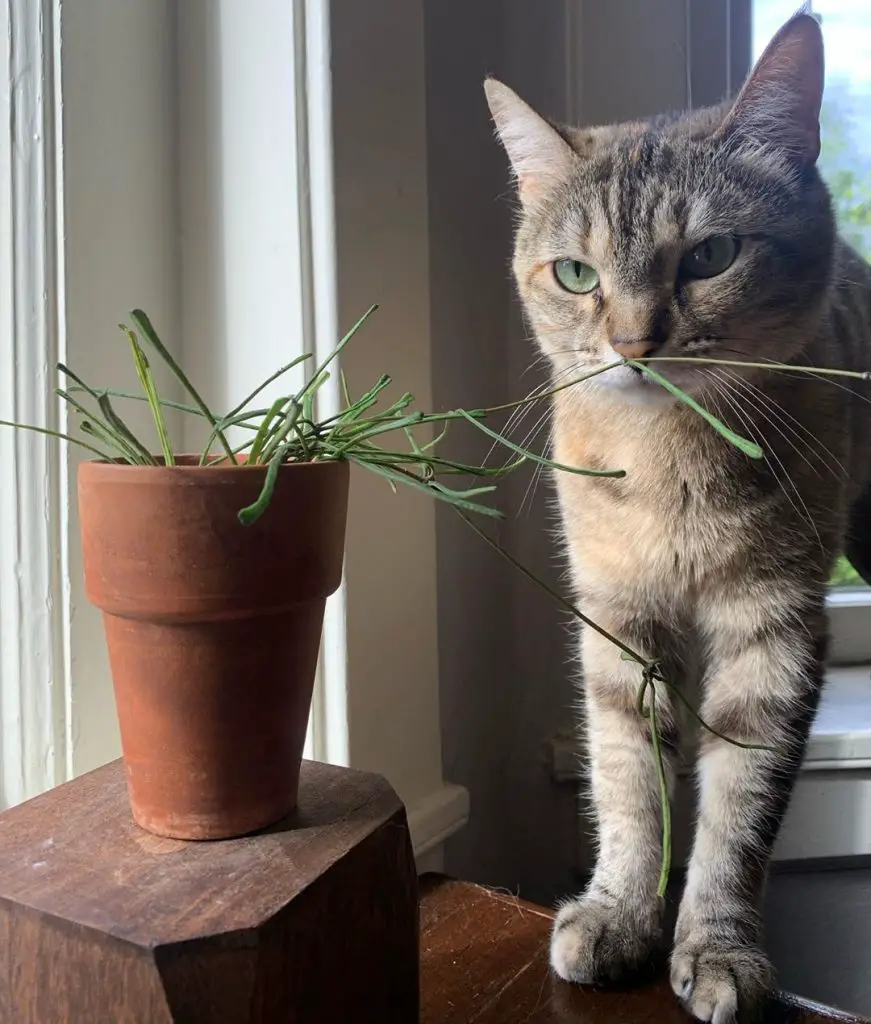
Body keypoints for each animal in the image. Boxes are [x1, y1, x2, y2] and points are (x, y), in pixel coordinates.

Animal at [487, 9, 871, 1024]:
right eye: (574, 273)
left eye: (708, 257)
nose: (632, 343)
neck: (672, 466)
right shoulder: (616, 615)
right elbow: (626, 779)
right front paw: (620, 911)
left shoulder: (773, 625)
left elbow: (739, 801)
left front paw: (718, 947)